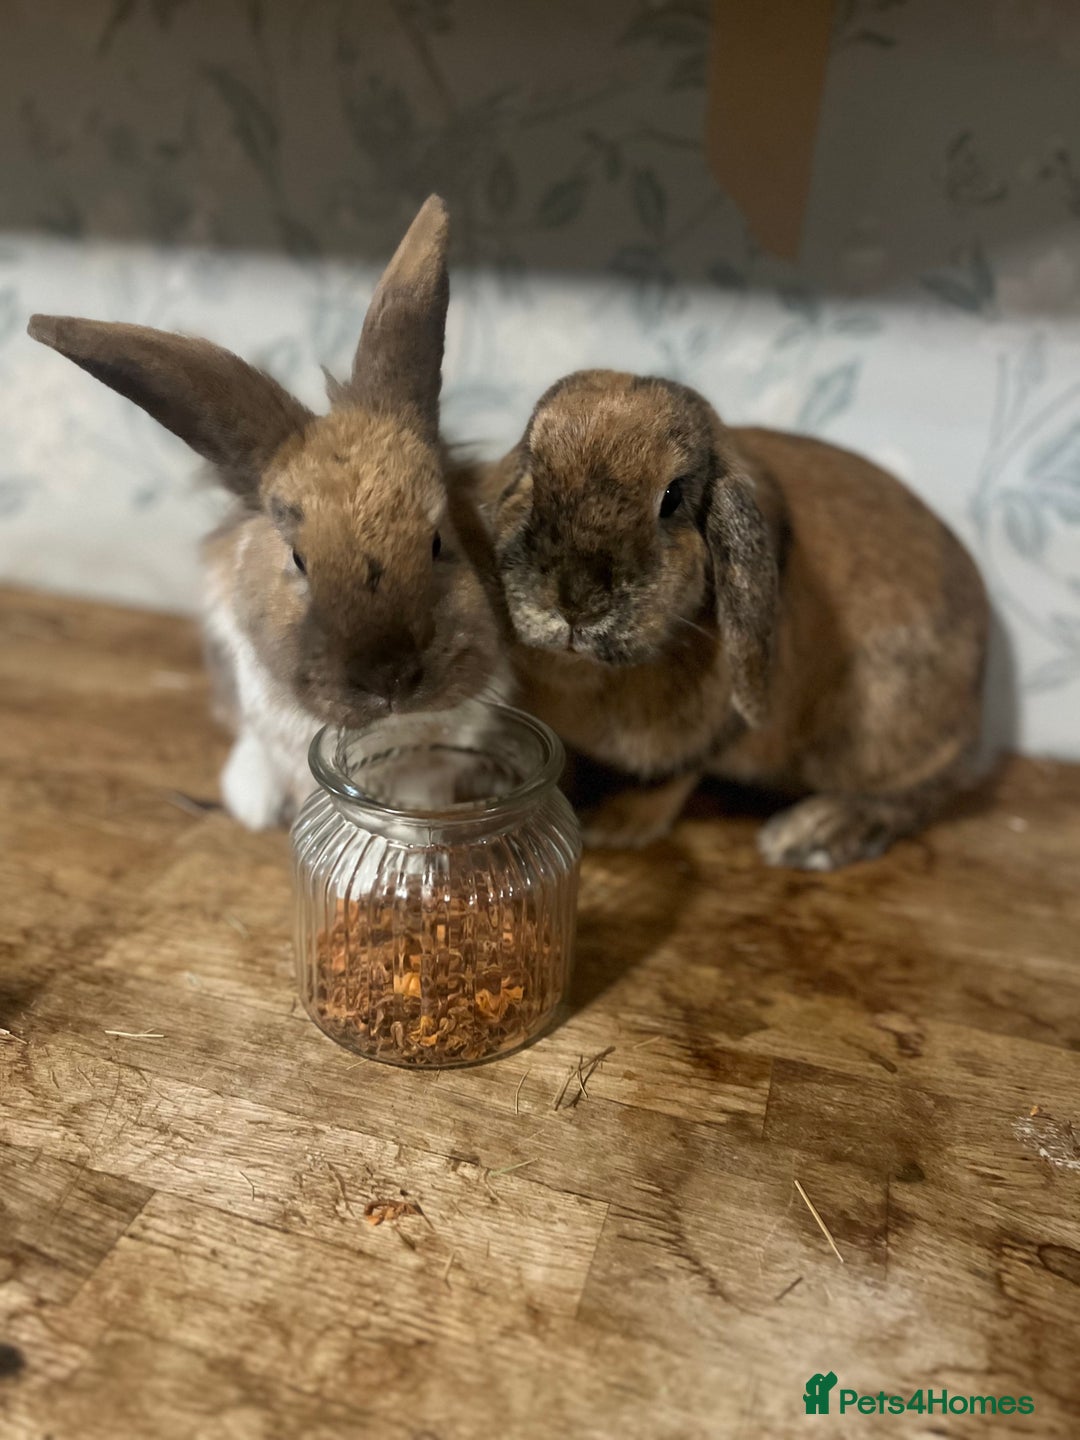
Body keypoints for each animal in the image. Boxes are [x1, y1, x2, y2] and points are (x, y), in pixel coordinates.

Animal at [468, 368, 988, 870]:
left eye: (672, 498)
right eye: (532, 472)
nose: (575, 601)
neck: (587, 673)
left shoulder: (714, 731)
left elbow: (673, 778)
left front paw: (617, 827)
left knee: (923, 793)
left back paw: (815, 832)